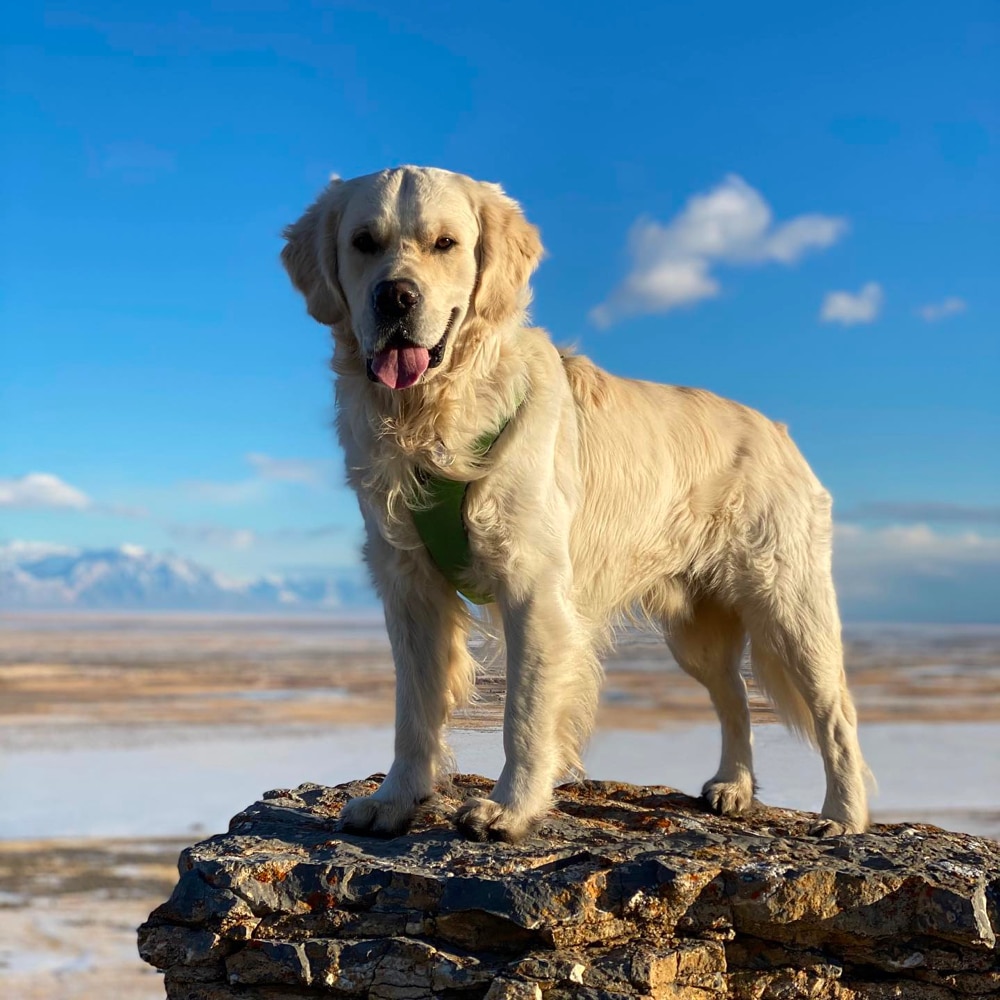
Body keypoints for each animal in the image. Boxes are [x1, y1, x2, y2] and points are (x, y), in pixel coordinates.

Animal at [280, 168, 868, 840]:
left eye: (445, 243)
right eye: (363, 242)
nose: (395, 297)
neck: (437, 417)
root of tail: (778, 430)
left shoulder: (532, 586)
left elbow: (525, 710)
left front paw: (510, 807)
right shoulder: (409, 587)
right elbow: (413, 709)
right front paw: (395, 798)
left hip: (790, 605)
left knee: (837, 713)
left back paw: (843, 816)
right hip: (696, 630)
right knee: (735, 697)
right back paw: (734, 786)